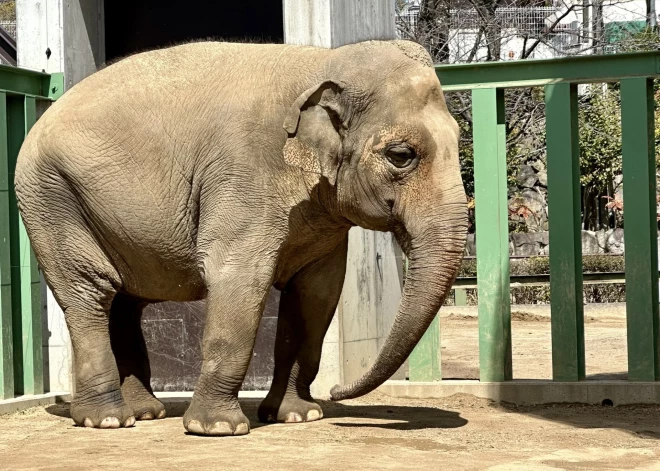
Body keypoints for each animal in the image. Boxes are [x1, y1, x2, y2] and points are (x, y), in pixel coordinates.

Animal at [16, 38, 470, 436]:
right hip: (50, 198)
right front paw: (217, 428)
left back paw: (145, 413)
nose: (338, 392)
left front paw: (297, 416)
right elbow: (239, 280)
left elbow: (317, 294)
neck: (320, 61)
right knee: (89, 293)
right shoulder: (243, 175)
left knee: (124, 301)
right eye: (401, 156)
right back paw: (108, 420)